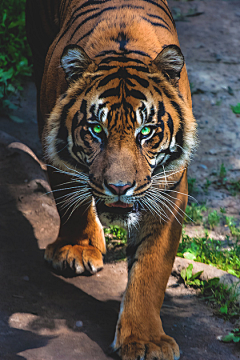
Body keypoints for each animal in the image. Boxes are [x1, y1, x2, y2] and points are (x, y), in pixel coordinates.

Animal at [25, 1, 196, 358]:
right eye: (95, 130)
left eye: (146, 132)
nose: (119, 188)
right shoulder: (56, 152)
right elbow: (70, 203)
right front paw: (76, 251)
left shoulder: (168, 192)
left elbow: (151, 269)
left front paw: (145, 340)